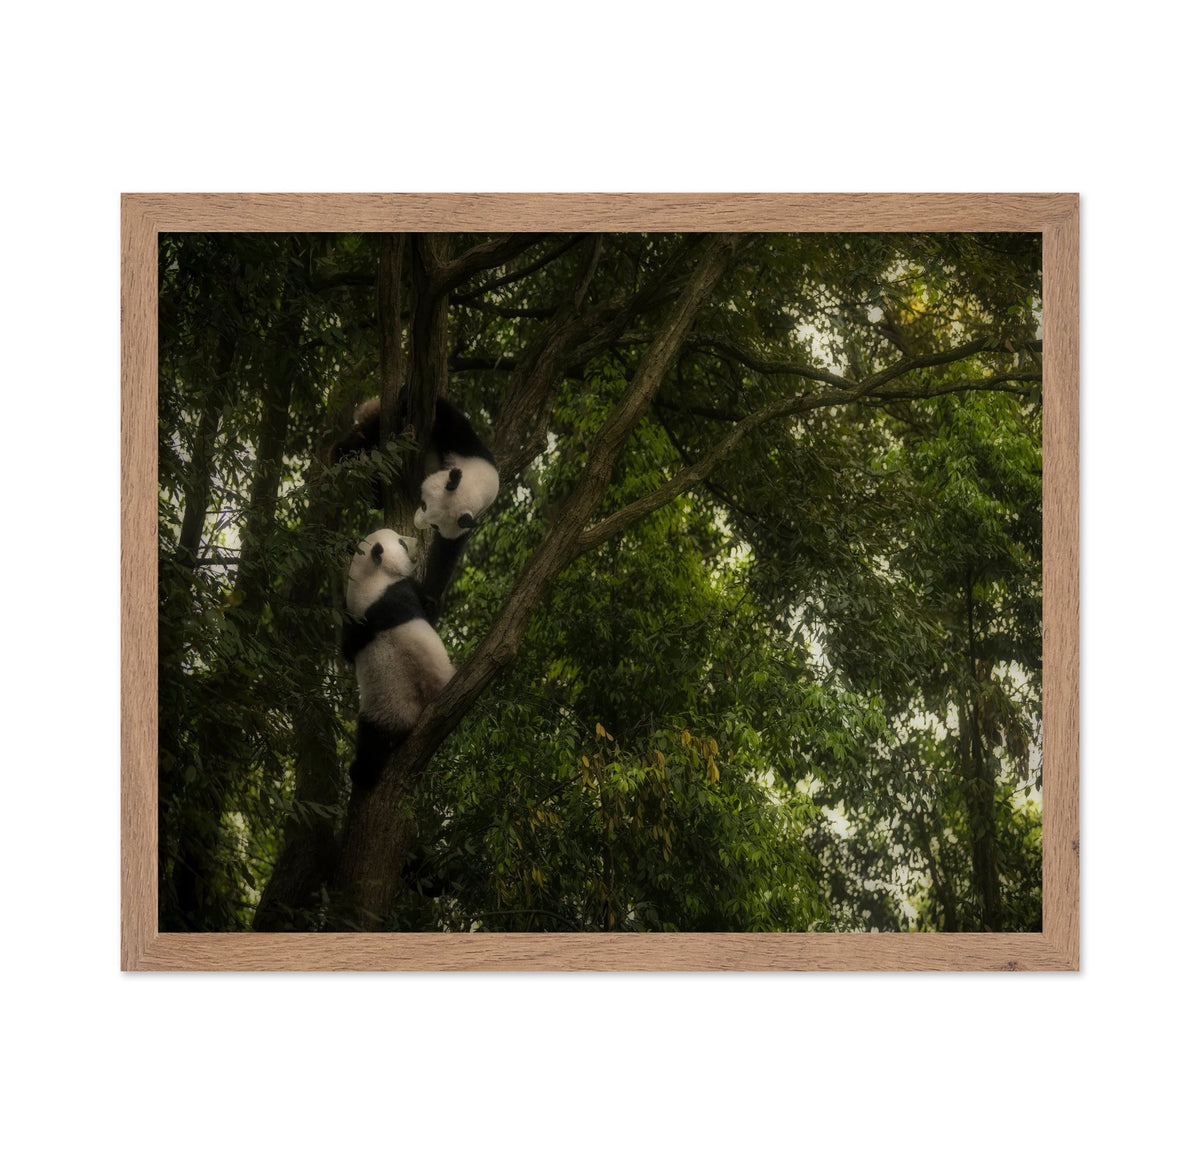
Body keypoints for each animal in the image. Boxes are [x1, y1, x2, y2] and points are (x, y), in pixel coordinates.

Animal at [342, 528, 456, 789]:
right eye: (402, 543)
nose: (418, 542)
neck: (369, 579)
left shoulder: (353, 621)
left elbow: (347, 649)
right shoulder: (400, 591)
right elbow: (428, 609)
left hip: (378, 712)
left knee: (370, 740)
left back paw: (361, 773)